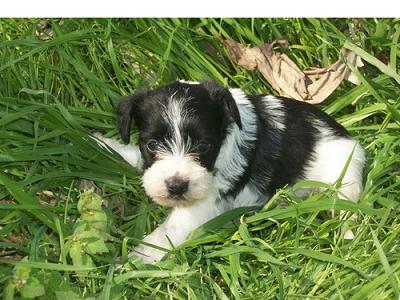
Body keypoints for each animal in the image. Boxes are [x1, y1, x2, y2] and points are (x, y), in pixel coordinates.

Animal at [95, 79, 364, 262]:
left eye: (204, 146)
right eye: (152, 145)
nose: (177, 186)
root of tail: (350, 139)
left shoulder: (205, 203)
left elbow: (168, 232)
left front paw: (135, 260)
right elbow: (133, 157)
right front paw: (99, 143)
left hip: (345, 179)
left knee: (346, 209)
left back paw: (347, 235)